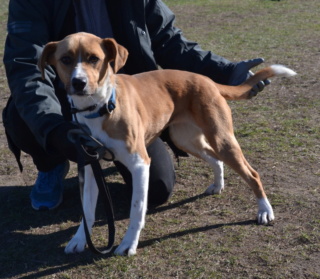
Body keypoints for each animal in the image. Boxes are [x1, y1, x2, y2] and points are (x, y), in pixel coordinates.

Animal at [38, 32, 296, 256]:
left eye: (94, 58)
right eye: (65, 59)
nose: (78, 82)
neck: (101, 106)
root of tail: (208, 80)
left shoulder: (140, 164)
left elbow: (136, 208)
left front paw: (128, 244)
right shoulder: (92, 165)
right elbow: (88, 210)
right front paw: (80, 239)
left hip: (222, 139)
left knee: (252, 173)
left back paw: (265, 210)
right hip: (187, 139)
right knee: (216, 159)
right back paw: (218, 184)